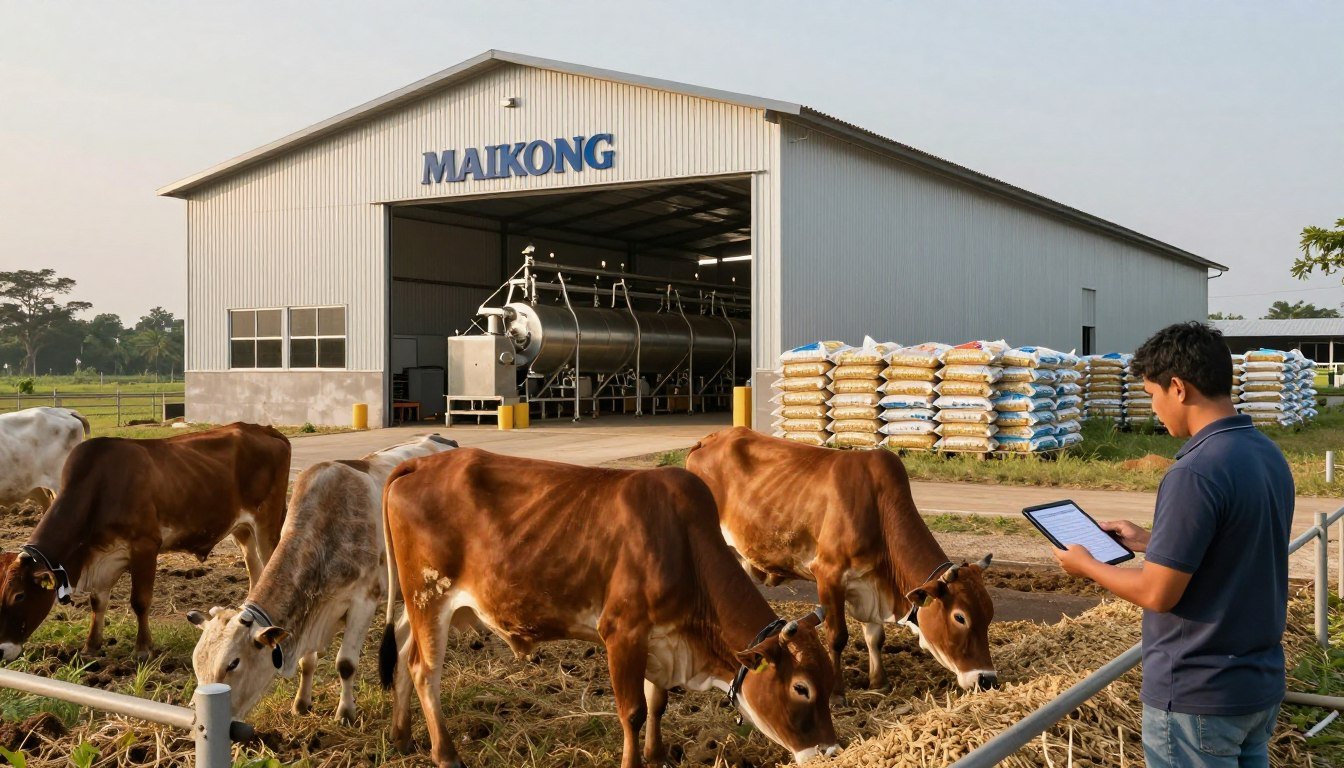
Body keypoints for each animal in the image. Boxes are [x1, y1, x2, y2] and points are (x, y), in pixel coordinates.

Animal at [0, 422, 290, 662]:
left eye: (19, 595)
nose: (2, 651)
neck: (100, 487)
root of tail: (264, 429)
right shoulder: (105, 555)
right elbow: (98, 601)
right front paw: (91, 646)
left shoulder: (145, 547)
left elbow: (140, 601)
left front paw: (142, 649)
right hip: (241, 528)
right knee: (254, 569)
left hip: (267, 523)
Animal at [187, 434, 458, 722]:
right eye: (197, 663)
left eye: (233, 663)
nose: (199, 717)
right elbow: (308, 662)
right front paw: (301, 703)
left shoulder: (364, 600)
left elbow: (346, 663)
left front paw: (345, 712)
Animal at [378, 449, 838, 768]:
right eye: (801, 688)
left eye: (829, 680)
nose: (832, 751)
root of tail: (418, 463)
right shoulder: (623, 631)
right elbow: (632, 712)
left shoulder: (658, 638)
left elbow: (657, 702)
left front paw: (658, 755)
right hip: (430, 596)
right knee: (424, 671)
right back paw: (445, 753)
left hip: (416, 604)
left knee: (401, 649)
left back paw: (401, 736)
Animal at [685, 427, 997, 700]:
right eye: (960, 617)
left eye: (989, 614)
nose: (987, 680)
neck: (879, 511)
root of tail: (707, 440)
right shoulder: (829, 574)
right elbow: (837, 637)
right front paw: (837, 692)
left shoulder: (869, 584)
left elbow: (875, 636)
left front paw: (879, 682)